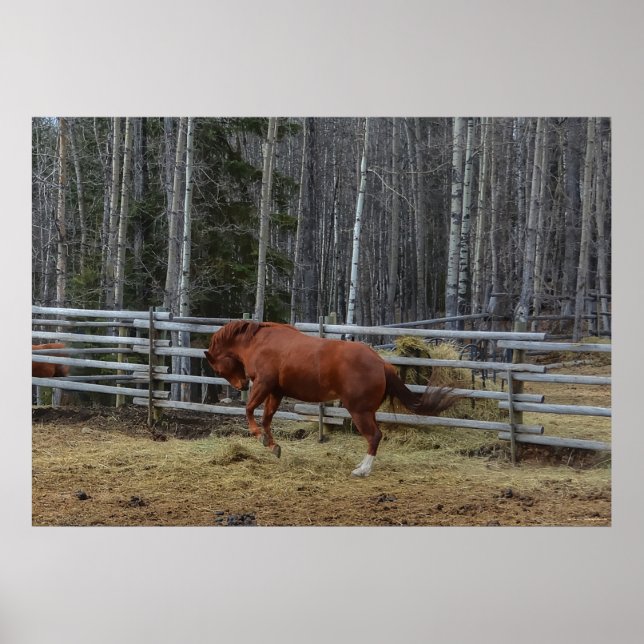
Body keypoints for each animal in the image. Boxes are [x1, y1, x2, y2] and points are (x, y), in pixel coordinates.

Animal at [204, 320, 460, 477]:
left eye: (216, 368)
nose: (241, 385)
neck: (259, 341)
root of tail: (381, 363)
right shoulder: (276, 391)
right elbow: (267, 418)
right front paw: (272, 445)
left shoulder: (263, 384)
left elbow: (248, 410)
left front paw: (260, 437)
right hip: (368, 411)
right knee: (375, 436)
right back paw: (361, 465)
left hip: (358, 411)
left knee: (374, 436)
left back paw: (362, 471)